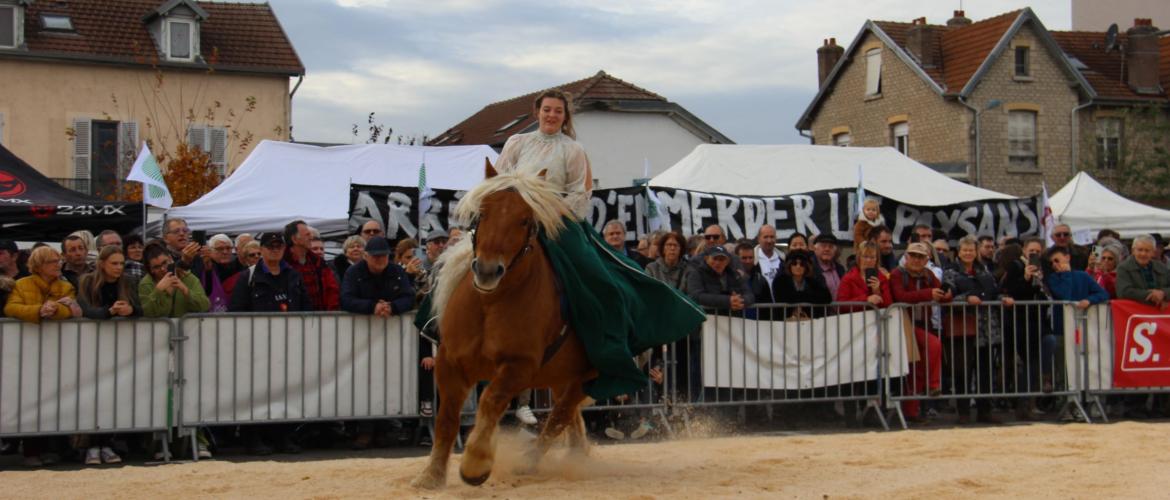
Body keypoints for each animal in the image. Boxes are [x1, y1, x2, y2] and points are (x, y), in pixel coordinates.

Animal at [414, 163, 599, 489]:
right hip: (560, 375)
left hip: (586, 376)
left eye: (525, 219)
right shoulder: (449, 362)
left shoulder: (519, 366)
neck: (491, 303)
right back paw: (576, 455)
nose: (487, 270)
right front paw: (431, 475)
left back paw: (531, 462)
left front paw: (475, 464)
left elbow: (490, 401)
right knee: (569, 415)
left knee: (560, 415)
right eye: (482, 212)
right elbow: (447, 419)